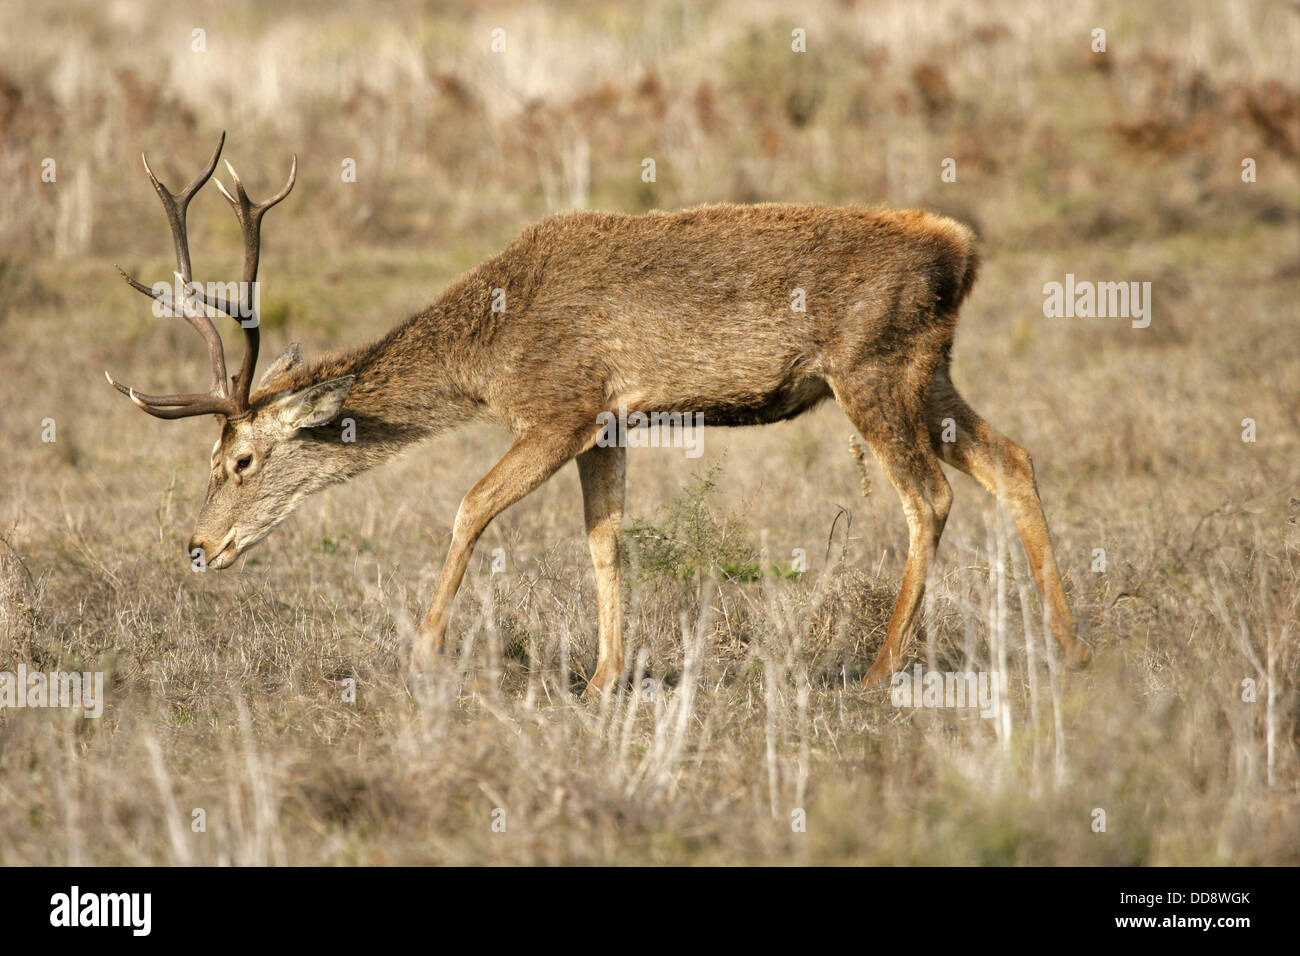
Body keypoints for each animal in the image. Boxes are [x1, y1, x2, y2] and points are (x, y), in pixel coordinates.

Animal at [109, 134, 1086, 697]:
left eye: (237, 461)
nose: (197, 547)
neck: (490, 355)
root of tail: (962, 251)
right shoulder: (608, 421)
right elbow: (606, 537)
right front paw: (606, 677)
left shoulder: (558, 404)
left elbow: (469, 507)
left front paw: (422, 656)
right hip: (930, 372)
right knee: (1014, 459)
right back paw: (1068, 644)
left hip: (871, 367)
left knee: (930, 498)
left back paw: (878, 671)